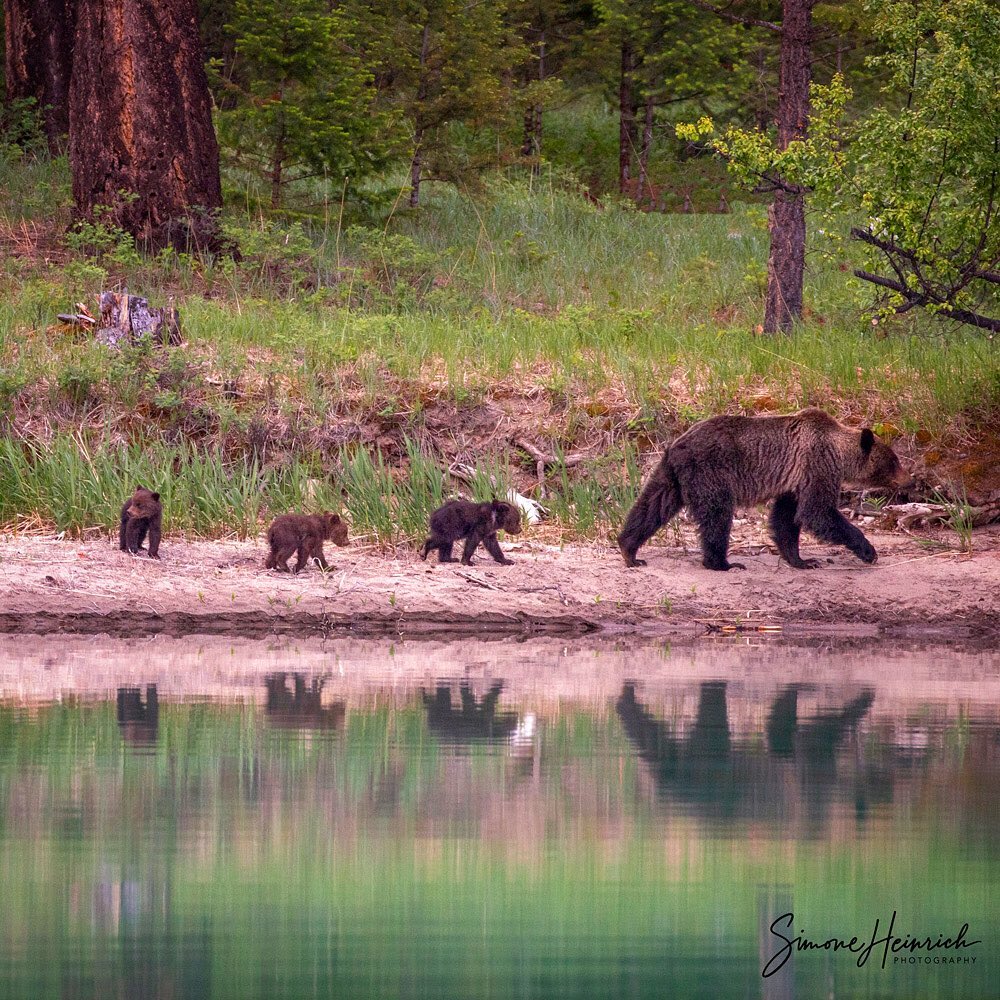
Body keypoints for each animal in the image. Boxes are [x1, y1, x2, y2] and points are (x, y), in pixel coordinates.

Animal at [612, 408, 912, 572]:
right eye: (894, 461)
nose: (908, 479)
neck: (837, 452)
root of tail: (677, 445)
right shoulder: (816, 465)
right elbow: (818, 512)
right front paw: (868, 550)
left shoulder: (794, 480)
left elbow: (787, 519)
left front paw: (801, 560)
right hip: (711, 471)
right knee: (717, 516)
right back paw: (723, 563)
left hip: (672, 474)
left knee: (652, 504)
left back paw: (629, 550)